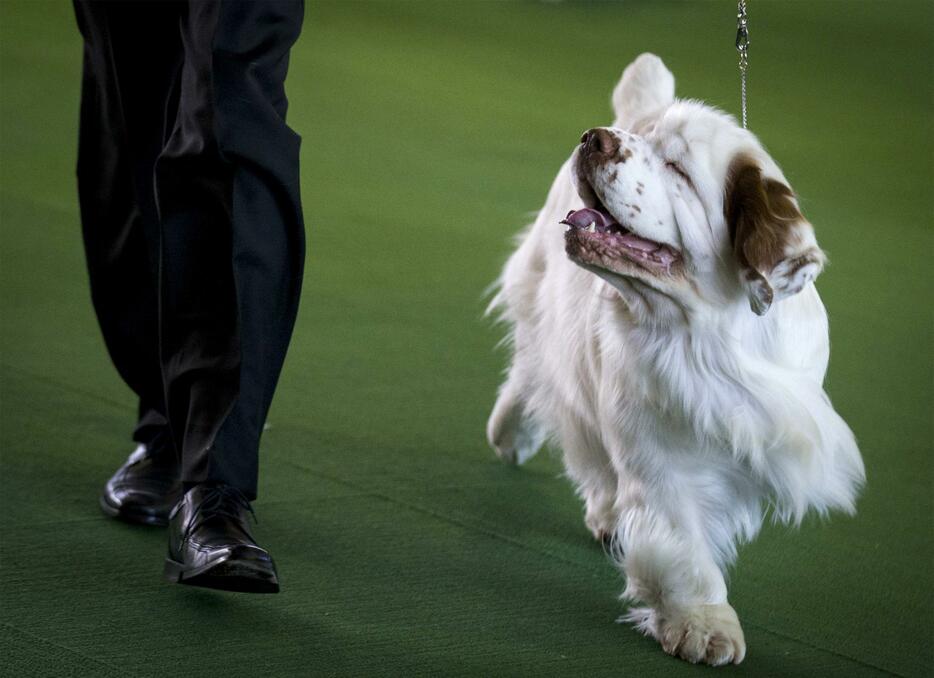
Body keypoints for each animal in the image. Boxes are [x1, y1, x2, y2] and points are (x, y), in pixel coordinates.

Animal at [486, 54, 868, 668]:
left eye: (677, 169)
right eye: (643, 141)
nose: (594, 139)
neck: (701, 335)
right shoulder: (655, 451)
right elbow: (678, 538)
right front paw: (703, 623)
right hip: (542, 295)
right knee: (537, 374)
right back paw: (513, 437)